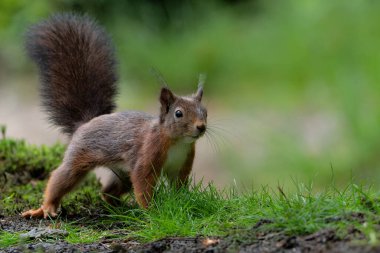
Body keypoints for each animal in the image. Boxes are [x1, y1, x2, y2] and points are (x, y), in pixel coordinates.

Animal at [21, 13, 208, 218]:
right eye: (178, 113)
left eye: (205, 111)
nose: (201, 126)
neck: (177, 142)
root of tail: (85, 123)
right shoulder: (146, 156)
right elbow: (142, 184)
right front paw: (152, 212)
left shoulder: (181, 166)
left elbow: (178, 187)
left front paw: (182, 203)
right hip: (79, 157)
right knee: (61, 178)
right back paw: (47, 207)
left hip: (122, 174)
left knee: (107, 191)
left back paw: (119, 208)